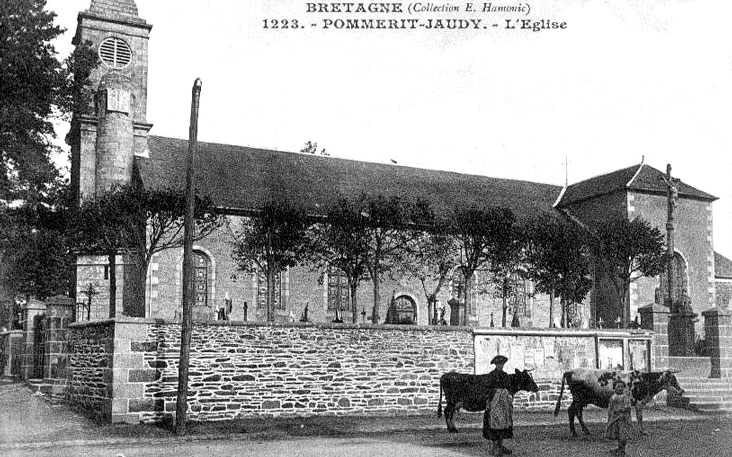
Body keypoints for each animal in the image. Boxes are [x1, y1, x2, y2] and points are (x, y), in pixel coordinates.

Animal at [556, 366, 688, 434]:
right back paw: (582, 431)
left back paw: (576, 431)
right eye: (672, 380)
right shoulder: (638, 402)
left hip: (579, 400)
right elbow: (639, 417)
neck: (644, 380)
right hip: (579, 399)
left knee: (572, 411)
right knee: (575, 412)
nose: (682, 390)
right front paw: (642, 431)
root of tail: (571, 371)